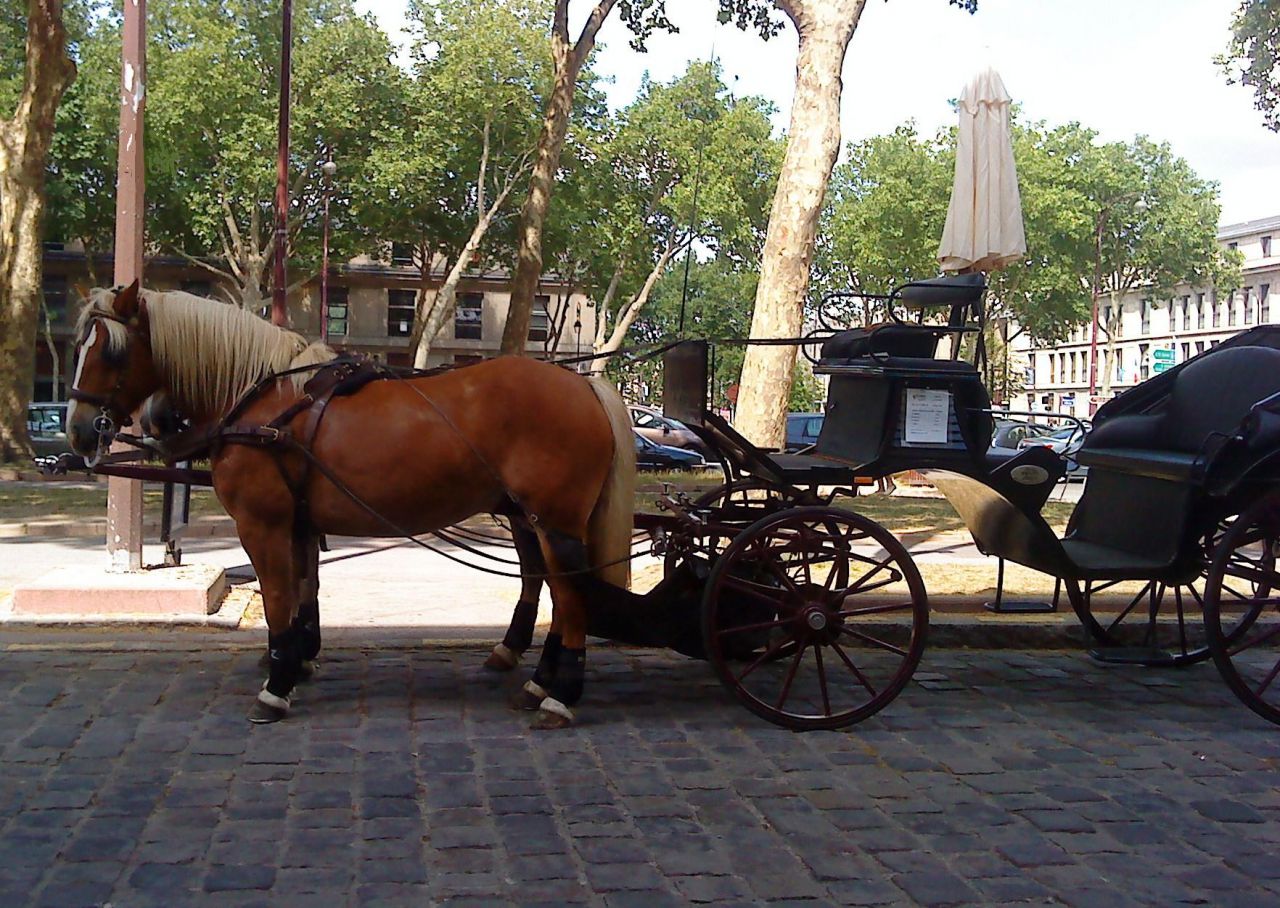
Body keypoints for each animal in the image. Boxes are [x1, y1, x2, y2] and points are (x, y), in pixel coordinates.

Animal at [66, 281, 636, 729]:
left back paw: (562, 694)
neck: (262, 403)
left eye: (110, 352)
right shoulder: (298, 523)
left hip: (554, 521)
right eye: (78, 345)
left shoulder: (262, 524)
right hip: (532, 518)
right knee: (557, 590)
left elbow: (277, 596)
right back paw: (541, 681)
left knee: (570, 593)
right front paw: (299, 659)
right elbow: (304, 590)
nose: (78, 430)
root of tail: (583, 383)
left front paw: (277, 684)